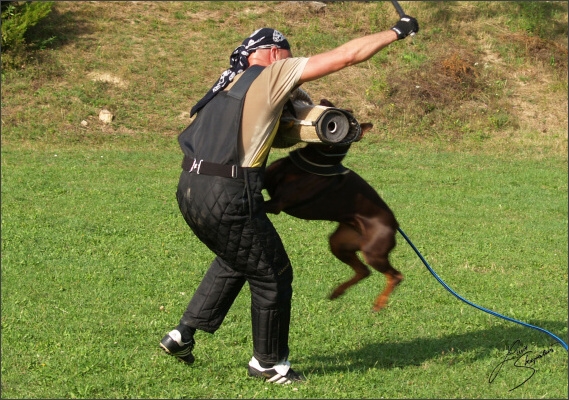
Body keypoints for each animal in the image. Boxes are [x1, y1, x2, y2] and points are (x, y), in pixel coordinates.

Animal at [264, 98, 402, 310]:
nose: (323, 101)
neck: (314, 159)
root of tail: (395, 224)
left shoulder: (277, 204)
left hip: (374, 251)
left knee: (395, 276)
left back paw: (379, 303)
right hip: (340, 242)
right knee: (364, 271)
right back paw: (338, 292)